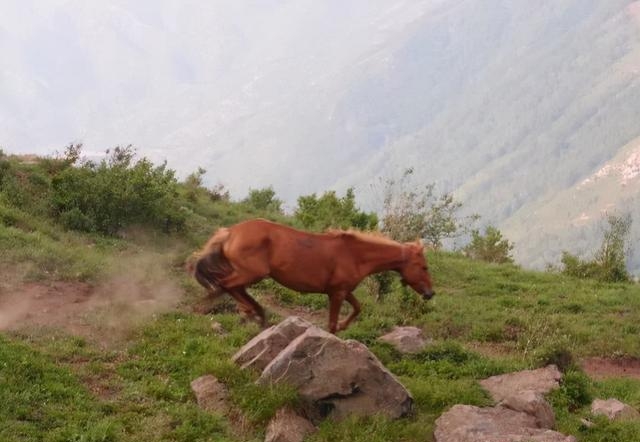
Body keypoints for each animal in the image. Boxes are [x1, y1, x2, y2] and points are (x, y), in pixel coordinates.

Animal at [190, 218, 436, 332]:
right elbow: (332, 324)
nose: (430, 293)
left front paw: (345, 326)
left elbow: (358, 307)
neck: (355, 254)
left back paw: (256, 313)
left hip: (249, 273)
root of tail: (230, 232)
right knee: (226, 285)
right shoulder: (337, 293)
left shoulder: (342, 290)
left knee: (232, 287)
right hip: (253, 273)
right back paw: (250, 312)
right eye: (424, 267)